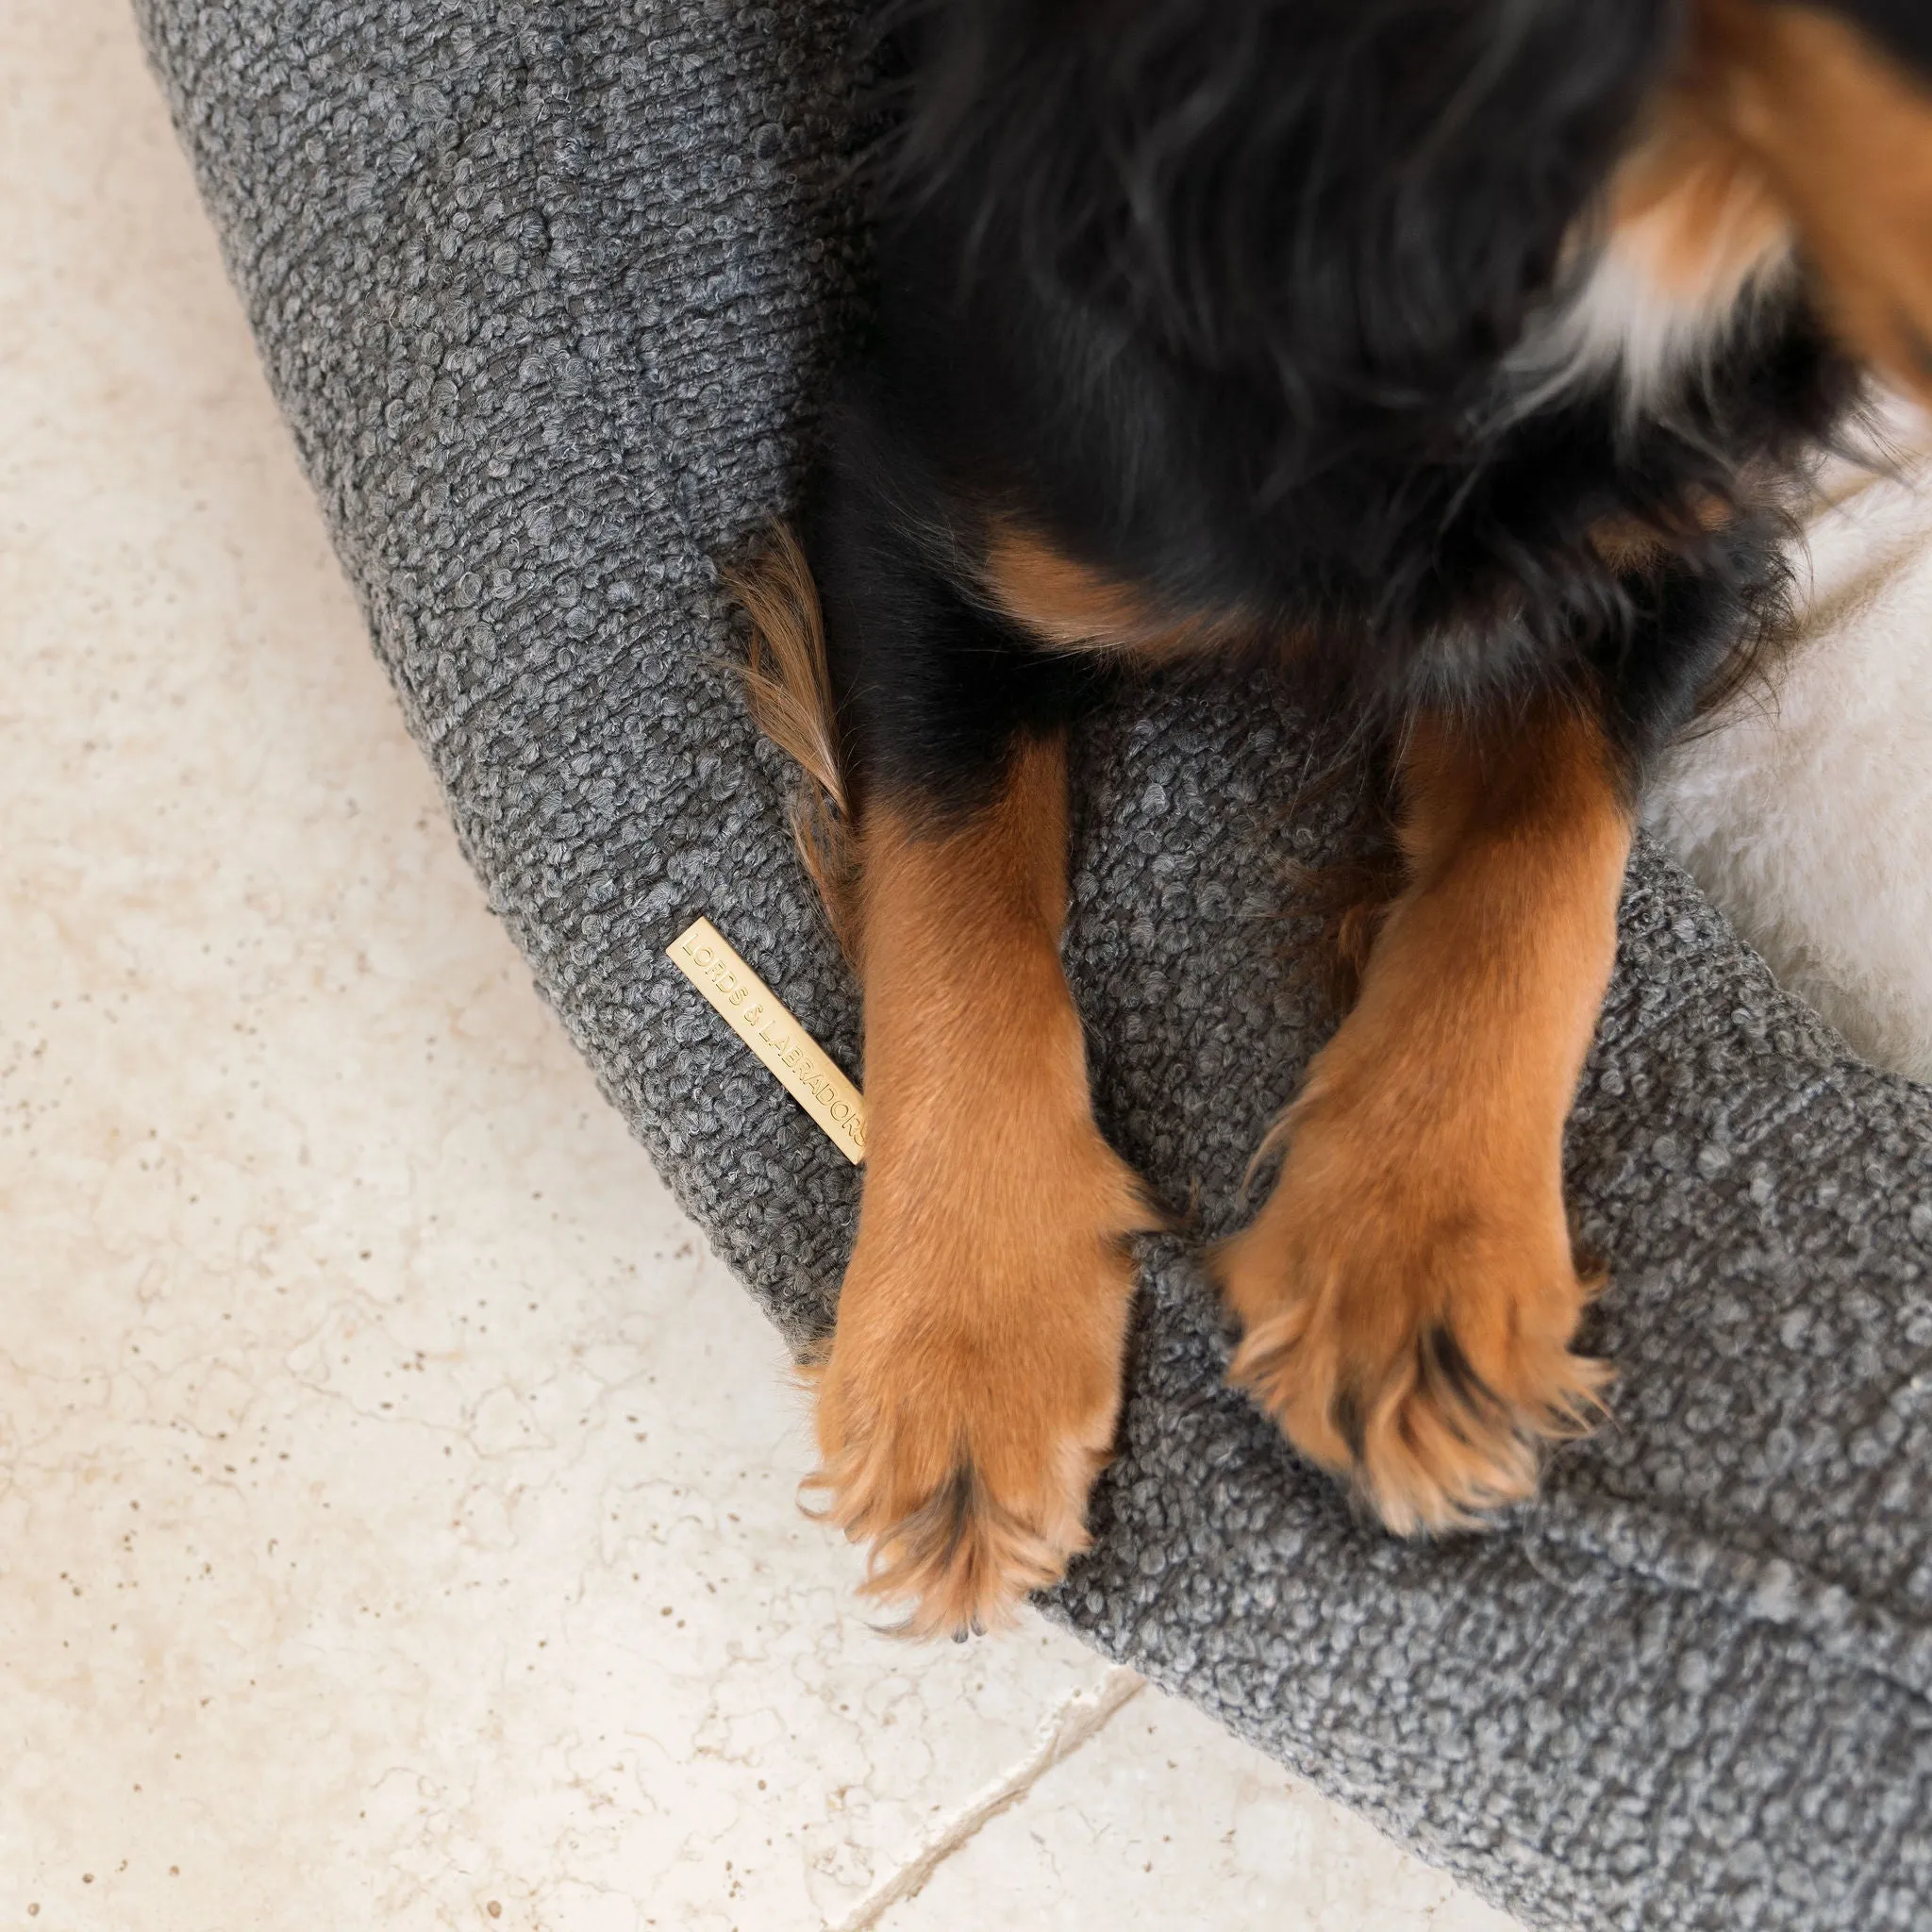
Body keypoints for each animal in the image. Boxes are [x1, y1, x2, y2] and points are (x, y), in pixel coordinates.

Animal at [726, 0, 1932, 1638]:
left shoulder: (1680, 538)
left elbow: (1548, 856)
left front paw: (1415, 1251)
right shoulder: (919, 497)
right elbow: (950, 909)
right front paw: (961, 1346)